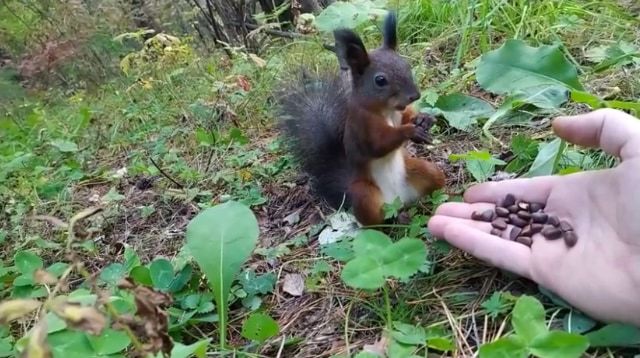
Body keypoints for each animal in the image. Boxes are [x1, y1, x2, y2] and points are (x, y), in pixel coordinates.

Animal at [276, 11, 444, 227]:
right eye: (380, 80)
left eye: (406, 66)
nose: (415, 95)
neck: (387, 111)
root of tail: (398, 200)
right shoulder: (362, 126)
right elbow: (378, 144)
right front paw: (410, 131)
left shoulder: (400, 113)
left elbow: (408, 115)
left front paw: (424, 119)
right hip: (365, 195)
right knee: (377, 220)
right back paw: (397, 218)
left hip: (423, 171)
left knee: (432, 177)